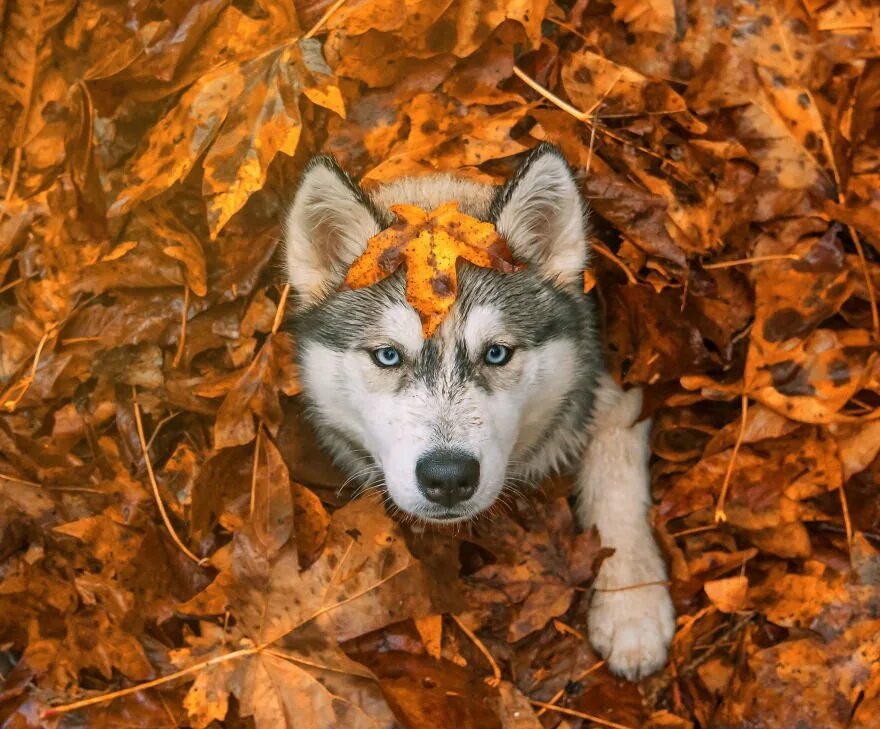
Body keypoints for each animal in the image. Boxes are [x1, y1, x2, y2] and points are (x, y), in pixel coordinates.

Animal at [282, 142, 672, 676]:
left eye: (497, 353)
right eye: (388, 355)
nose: (448, 477)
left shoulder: (618, 385)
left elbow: (616, 477)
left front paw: (634, 604)